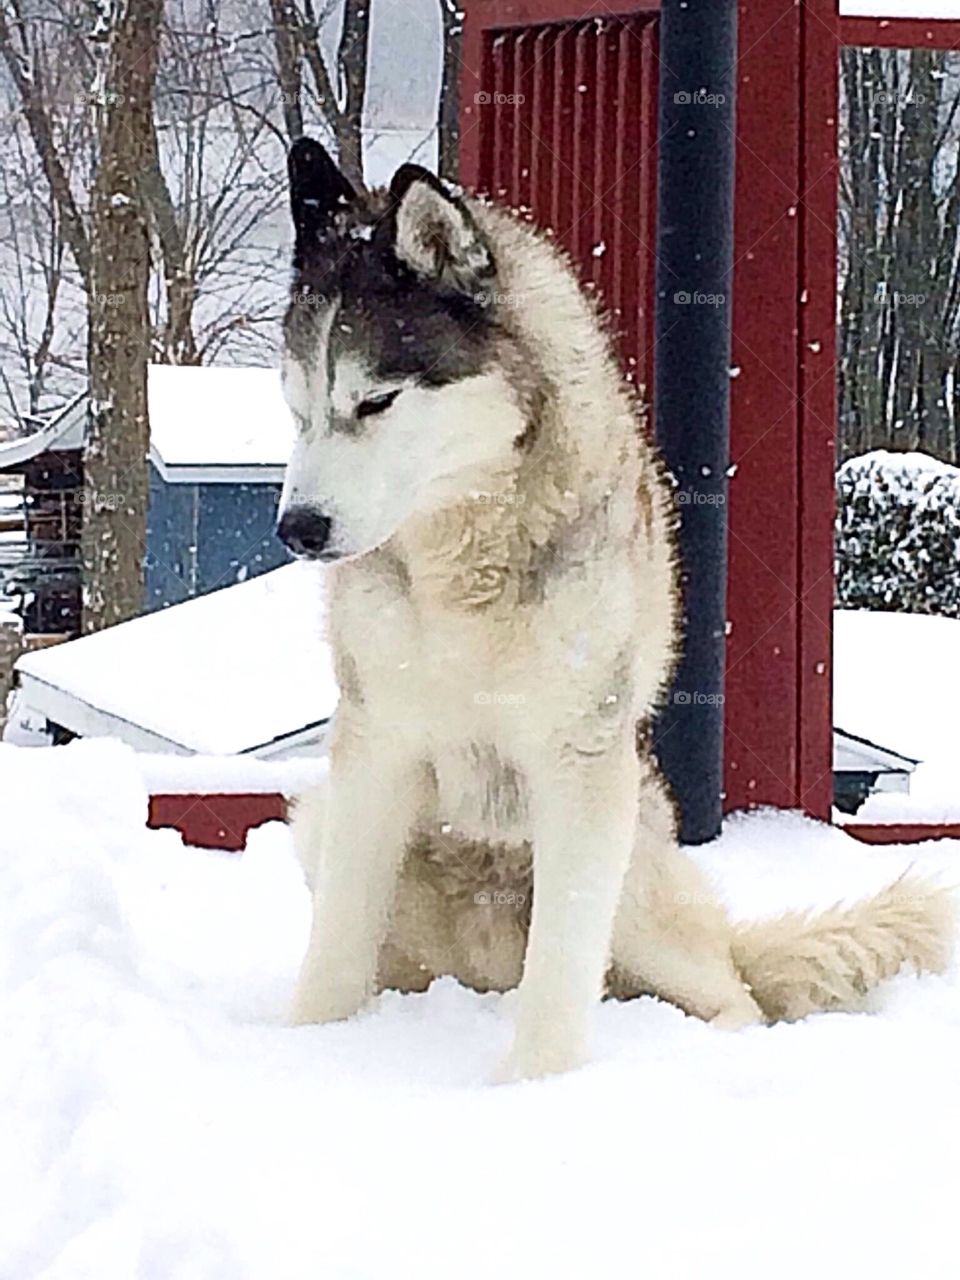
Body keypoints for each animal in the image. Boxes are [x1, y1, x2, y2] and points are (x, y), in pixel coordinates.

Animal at [277, 137, 957, 1080]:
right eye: (297, 408)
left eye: (375, 401)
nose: (296, 527)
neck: (466, 558)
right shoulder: (377, 746)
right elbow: (336, 951)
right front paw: (304, 1054)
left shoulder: (581, 760)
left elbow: (562, 972)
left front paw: (531, 1089)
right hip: (322, 826)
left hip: (635, 867)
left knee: (731, 994)